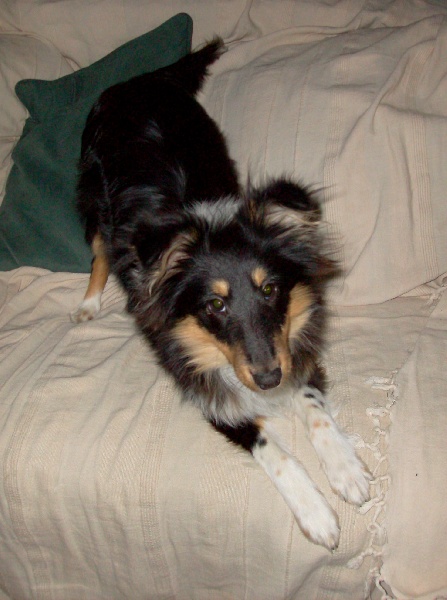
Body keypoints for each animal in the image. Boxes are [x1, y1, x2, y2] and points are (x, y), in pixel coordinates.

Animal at [72, 38, 371, 550]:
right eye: (215, 305)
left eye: (271, 288)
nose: (269, 381)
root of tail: (140, 80)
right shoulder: (202, 386)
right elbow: (271, 447)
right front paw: (315, 512)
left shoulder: (294, 351)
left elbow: (315, 409)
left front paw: (346, 468)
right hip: (94, 193)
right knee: (98, 249)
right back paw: (90, 303)